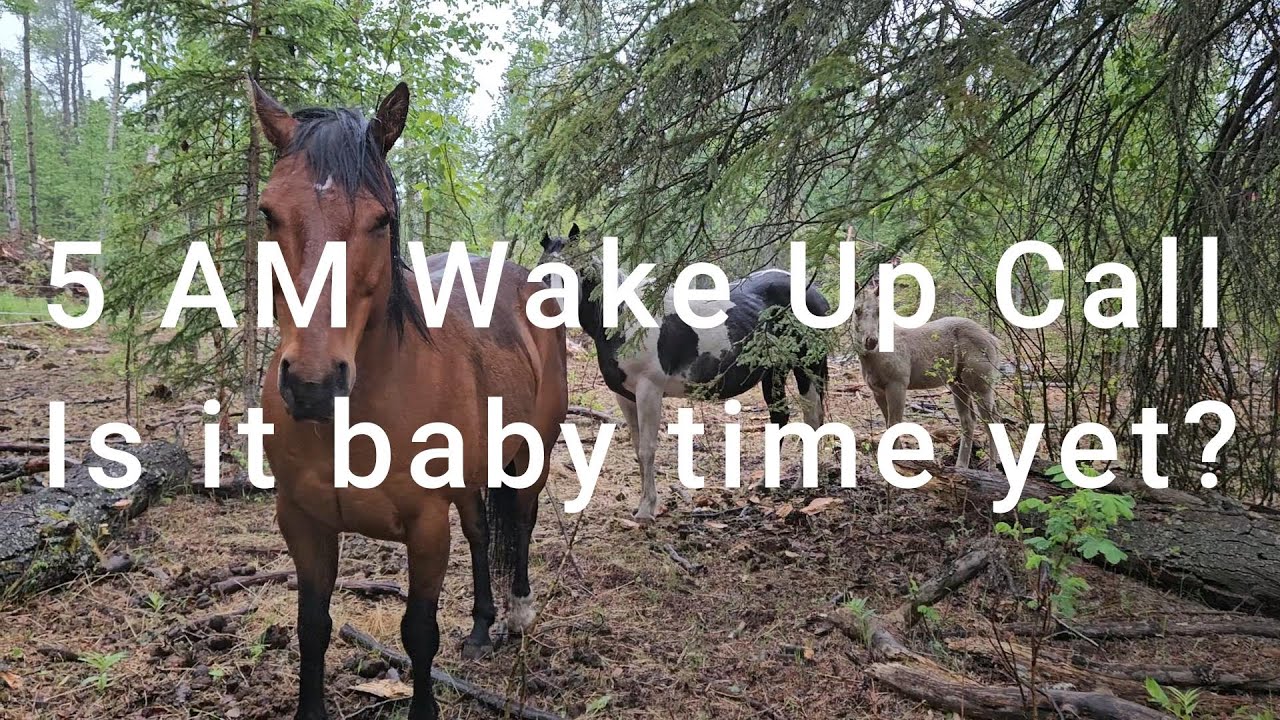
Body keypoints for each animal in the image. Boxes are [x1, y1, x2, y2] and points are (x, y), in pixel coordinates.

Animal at [252, 80, 567, 720]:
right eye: (269, 212)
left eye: (382, 220)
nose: (313, 384)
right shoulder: (303, 525)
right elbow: (312, 628)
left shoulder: (425, 529)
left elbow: (419, 633)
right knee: (480, 531)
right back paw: (481, 626)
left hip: (531, 456)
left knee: (522, 522)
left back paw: (518, 613)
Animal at [539, 225, 830, 521]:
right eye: (542, 270)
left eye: (579, 270)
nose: (553, 312)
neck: (624, 318)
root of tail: (813, 291)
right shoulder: (625, 396)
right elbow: (637, 447)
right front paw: (642, 504)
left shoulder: (649, 391)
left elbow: (647, 449)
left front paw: (647, 510)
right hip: (773, 372)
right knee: (780, 418)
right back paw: (765, 484)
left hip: (807, 367)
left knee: (812, 418)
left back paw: (802, 483)